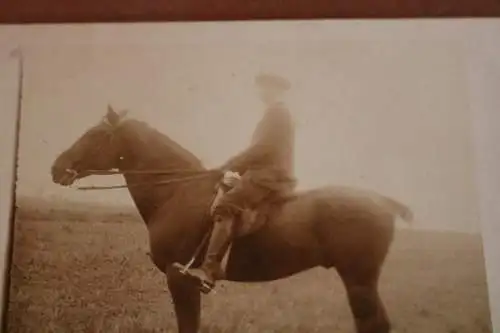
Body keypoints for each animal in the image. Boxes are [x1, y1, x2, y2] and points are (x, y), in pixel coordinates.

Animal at [49, 107, 414, 332]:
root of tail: (384, 202)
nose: (56, 167)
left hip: (359, 281)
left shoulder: (178, 278)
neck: (177, 192)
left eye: (95, 135)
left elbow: (188, 326)